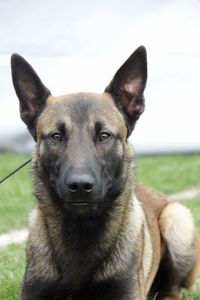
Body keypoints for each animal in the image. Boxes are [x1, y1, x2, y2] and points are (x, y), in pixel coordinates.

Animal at [11, 45, 200, 298]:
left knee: (172, 290)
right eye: (56, 136)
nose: (80, 186)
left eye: (104, 136)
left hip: (177, 221)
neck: (81, 233)